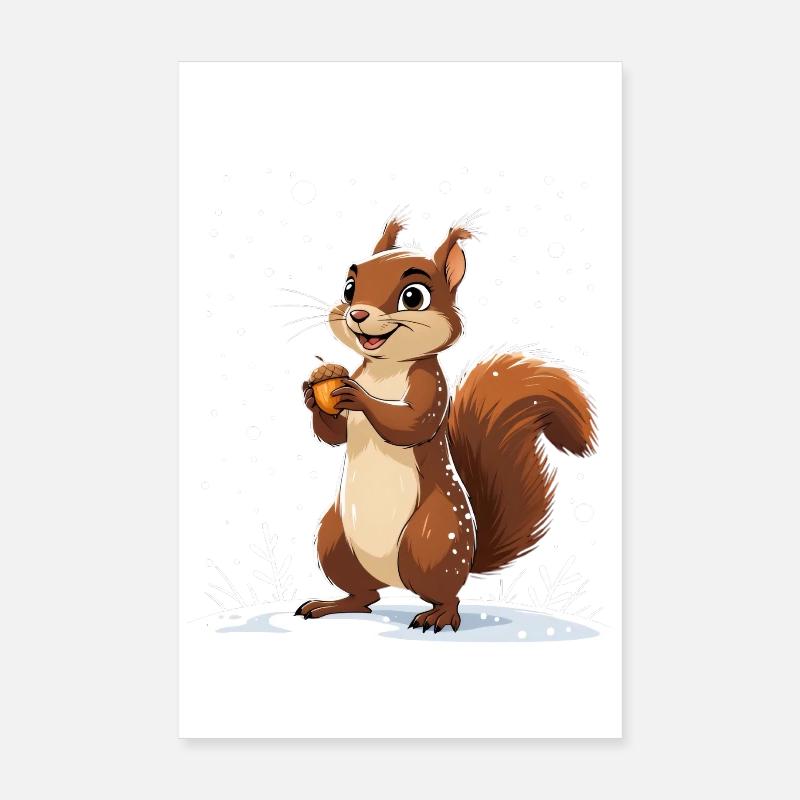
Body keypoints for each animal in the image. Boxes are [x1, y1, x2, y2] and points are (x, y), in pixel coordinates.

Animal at [296, 213, 596, 632]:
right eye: (349, 288)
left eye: (413, 296)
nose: (357, 314)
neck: (385, 368)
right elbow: (336, 434)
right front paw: (313, 397)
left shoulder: (431, 387)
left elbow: (412, 422)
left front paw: (358, 395)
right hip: (334, 542)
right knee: (365, 596)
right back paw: (331, 604)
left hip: (432, 541)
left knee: (444, 593)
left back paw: (437, 615)